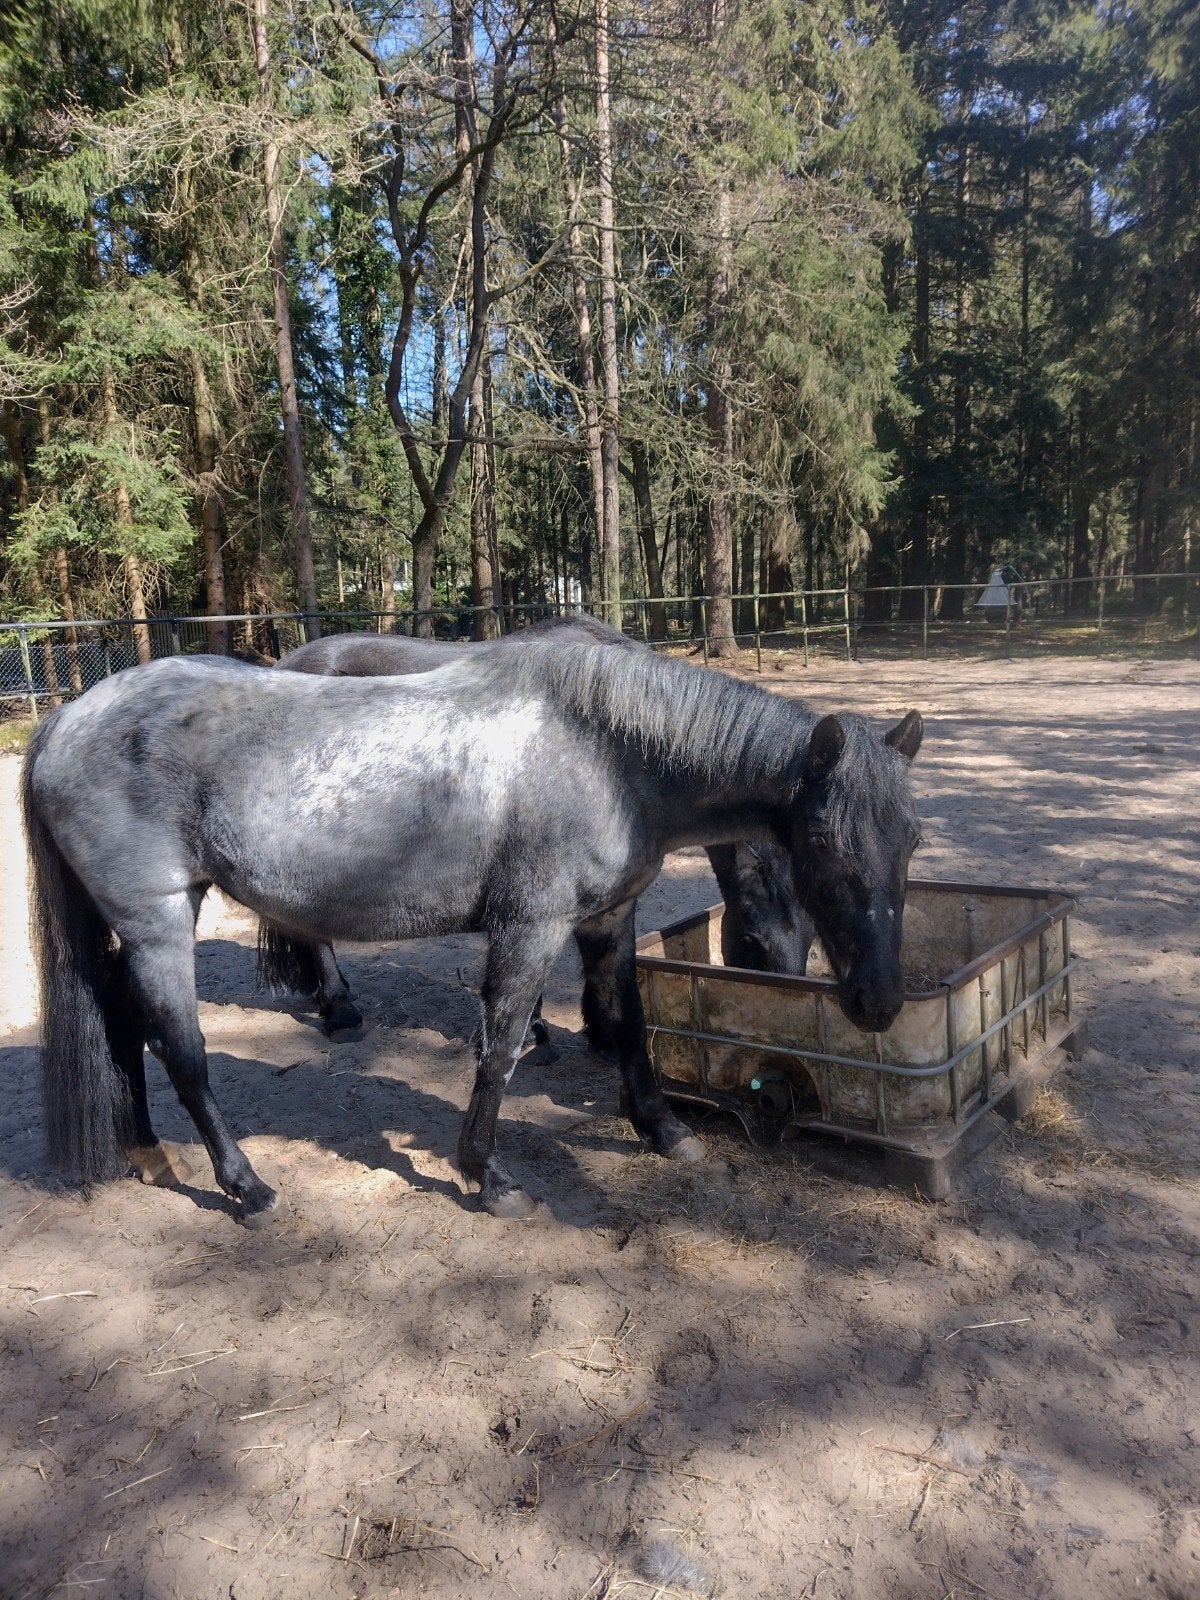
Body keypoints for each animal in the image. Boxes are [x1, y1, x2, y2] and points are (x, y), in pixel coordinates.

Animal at [259, 614, 814, 1041]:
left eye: (811, 944)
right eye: (755, 943)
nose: (779, 1022)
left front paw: (595, 1028)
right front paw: (541, 1027)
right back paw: (340, 1010)